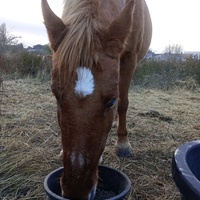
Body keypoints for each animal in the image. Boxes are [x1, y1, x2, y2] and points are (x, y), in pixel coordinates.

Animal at [41, 0, 152, 198]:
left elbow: (123, 104)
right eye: (56, 96)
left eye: (111, 101)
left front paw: (123, 144)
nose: (76, 193)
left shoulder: (129, 59)